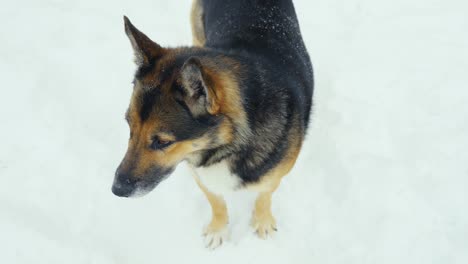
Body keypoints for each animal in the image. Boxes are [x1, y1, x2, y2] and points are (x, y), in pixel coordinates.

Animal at [111, 0, 312, 250]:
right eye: (130, 127)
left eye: (162, 142)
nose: (117, 190)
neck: (227, 145)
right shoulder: (198, 171)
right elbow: (216, 201)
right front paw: (218, 229)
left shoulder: (275, 174)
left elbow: (264, 195)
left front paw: (262, 221)